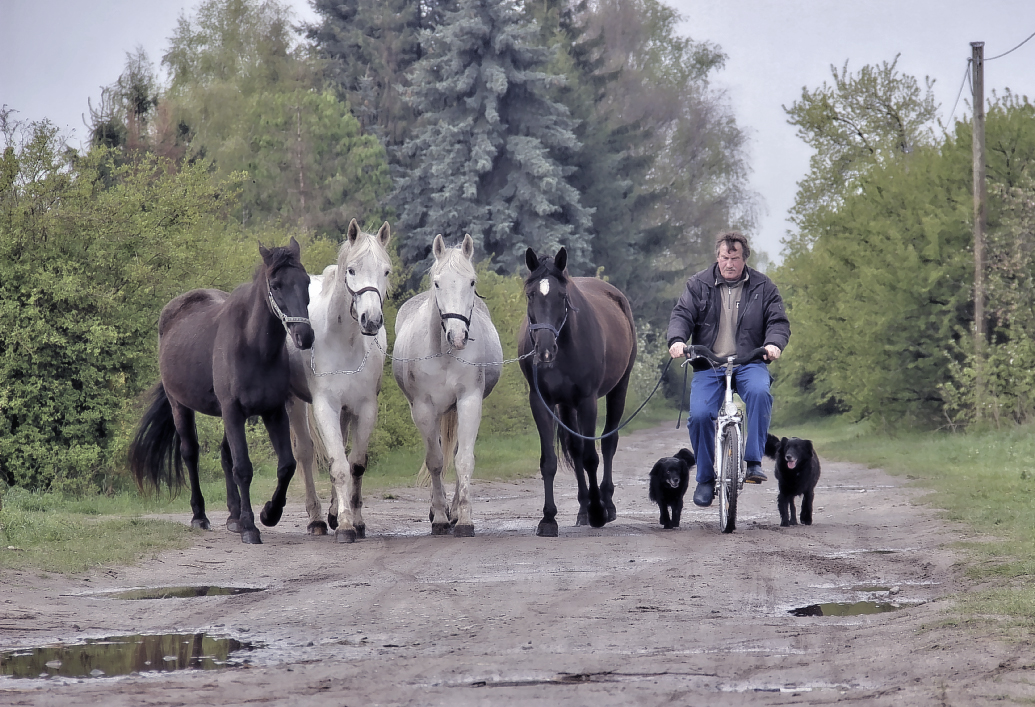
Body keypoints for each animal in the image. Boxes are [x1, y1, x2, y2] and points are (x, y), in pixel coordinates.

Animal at [129, 240, 314, 546]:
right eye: (276, 285)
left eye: (307, 281)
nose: (305, 336)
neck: (254, 347)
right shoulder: (233, 411)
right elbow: (243, 468)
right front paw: (251, 527)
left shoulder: (273, 411)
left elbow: (286, 465)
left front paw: (269, 513)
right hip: (180, 405)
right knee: (191, 454)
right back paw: (200, 516)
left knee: (226, 456)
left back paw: (233, 517)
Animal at [287, 218, 391, 546]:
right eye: (352, 270)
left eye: (386, 271)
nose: (371, 320)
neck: (343, 342)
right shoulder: (325, 407)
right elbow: (338, 466)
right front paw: (345, 526)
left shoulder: (365, 407)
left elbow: (355, 464)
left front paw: (355, 520)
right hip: (295, 403)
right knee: (305, 454)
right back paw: (317, 520)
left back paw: (332, 513)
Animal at [393, 233, 503, 538]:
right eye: (437, 283)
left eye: (472, 282)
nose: (458, 336)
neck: (443, 351)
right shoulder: (423, 409)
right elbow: (435, 461)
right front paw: (440, 517)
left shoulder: (469, 401)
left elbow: (463, 459)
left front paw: (463, 518)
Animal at [517, 247, 637, 538]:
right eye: (531, 294)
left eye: (562, 296)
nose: (544, 350)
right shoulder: (541, 402)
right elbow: (550, 461)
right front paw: (548, 519)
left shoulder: (587, 401)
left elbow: (591, 457)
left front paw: (598, 512)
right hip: (566, 405)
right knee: (575, 448)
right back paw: (583, 507)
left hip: (618, 389)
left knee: (608, 443)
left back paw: (606, 503)